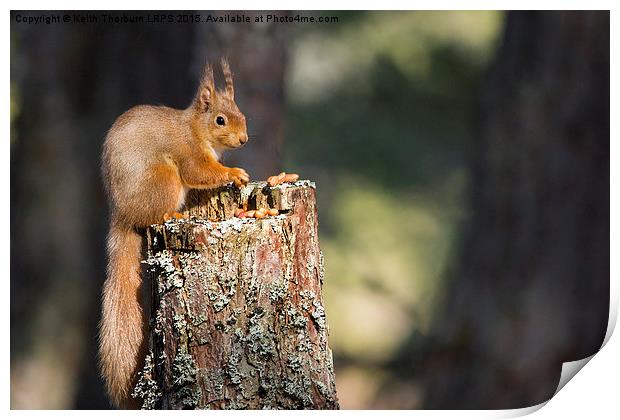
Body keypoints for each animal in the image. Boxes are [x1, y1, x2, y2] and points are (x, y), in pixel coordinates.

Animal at [99, 58, 249, 406]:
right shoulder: (188, 152)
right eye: (220, 120)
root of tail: (122, 216)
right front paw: (233, 173)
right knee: (160, 208)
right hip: (165, 178)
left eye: (241, 113)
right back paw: (173, 212)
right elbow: (199, 172)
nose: (244, 139)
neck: (194, 128)